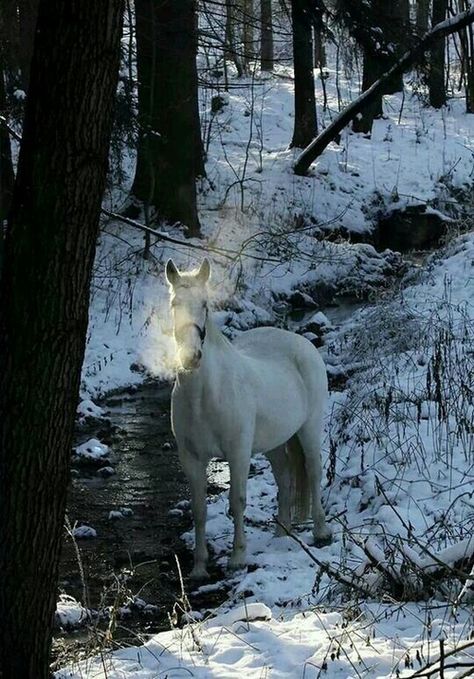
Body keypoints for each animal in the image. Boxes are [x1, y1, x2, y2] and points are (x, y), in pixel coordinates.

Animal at [166, 256, 330, 580]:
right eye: (174, 304)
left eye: (204, 305)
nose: (190, 357)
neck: (205, 396)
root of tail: (301, 343)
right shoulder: (191, 457)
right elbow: (199, 510)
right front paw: (199, 567)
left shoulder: (238, 452)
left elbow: (237, 501)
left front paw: (238, 558)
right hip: (275, 443)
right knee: (285, 479)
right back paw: (282, 534)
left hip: (309, 429)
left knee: (315, 472)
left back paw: (321, 531)